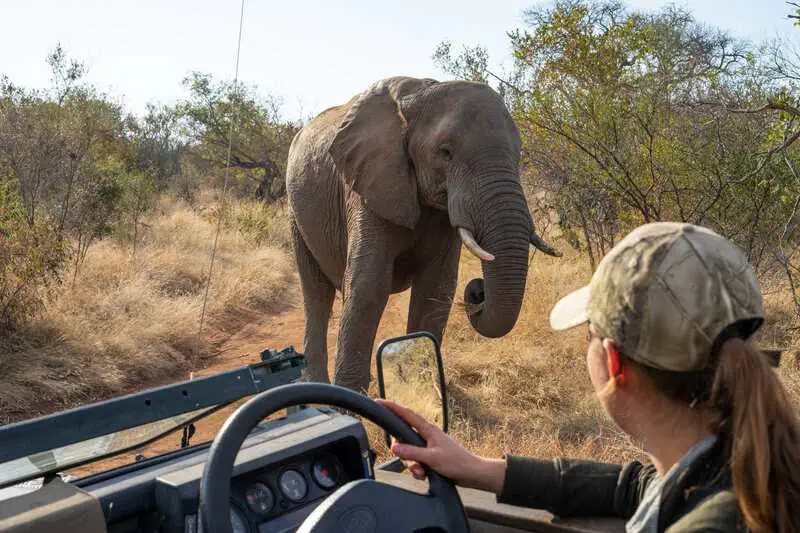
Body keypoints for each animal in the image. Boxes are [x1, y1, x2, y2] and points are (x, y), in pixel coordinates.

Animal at [284, 75, 560, 394]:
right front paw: (353, 395)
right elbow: (368, 285)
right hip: (295, 213)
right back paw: (317, 385)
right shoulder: (369, 185)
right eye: (445, 152)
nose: (478, 291)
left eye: (518, 155)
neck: (419, 95)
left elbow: (436, 287)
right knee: (316, 292)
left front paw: (429, 384)